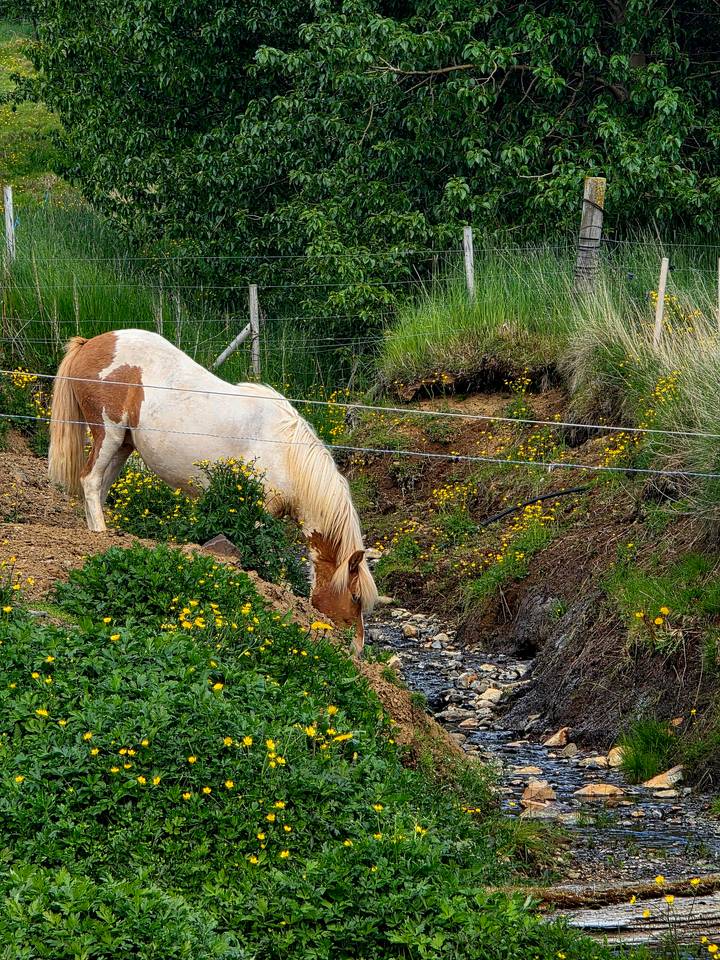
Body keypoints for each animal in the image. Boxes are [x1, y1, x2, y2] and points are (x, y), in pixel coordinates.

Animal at [47, 330, 377, 651]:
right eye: (355, 597)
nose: (357, 649)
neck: (284, 450)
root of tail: (90, 343)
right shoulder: (258, 512)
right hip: (109, 435)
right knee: (90, 481)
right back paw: (101, 532)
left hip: (123, 446)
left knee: (99, 488)